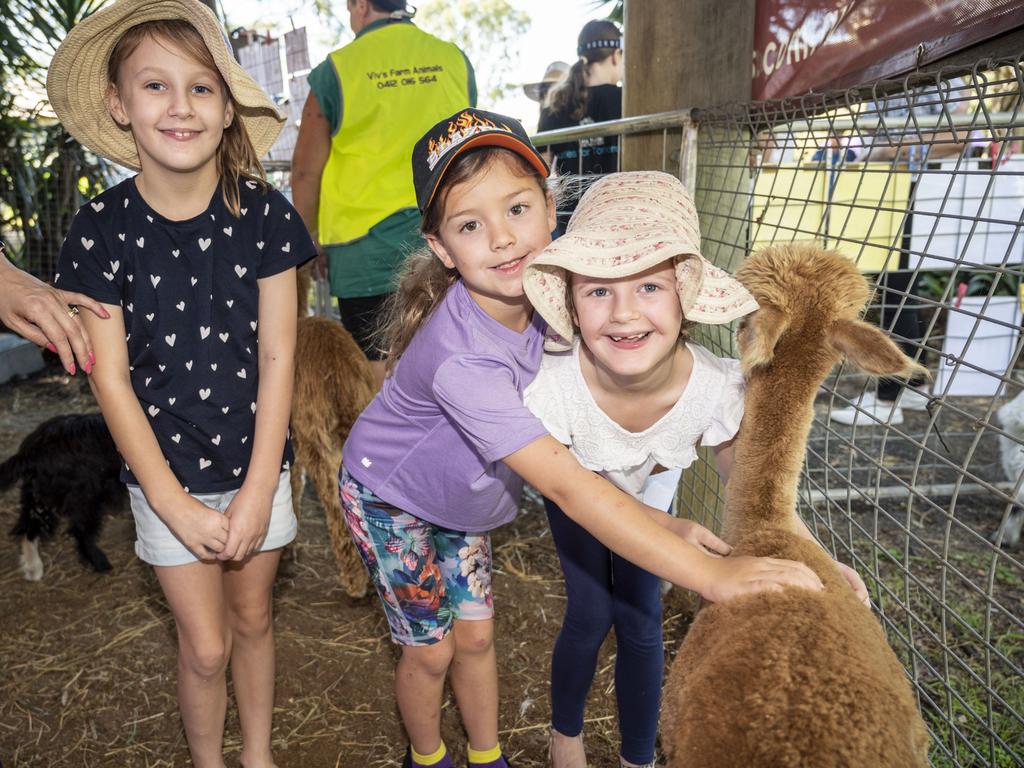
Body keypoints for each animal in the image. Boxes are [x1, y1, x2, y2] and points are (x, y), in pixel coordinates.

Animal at [2, 417, 123, 581]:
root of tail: (31, 452)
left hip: (39, 495)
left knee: (28, 528)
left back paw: (33, 568)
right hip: (86, 497)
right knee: (81, 533)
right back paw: (100, 563)